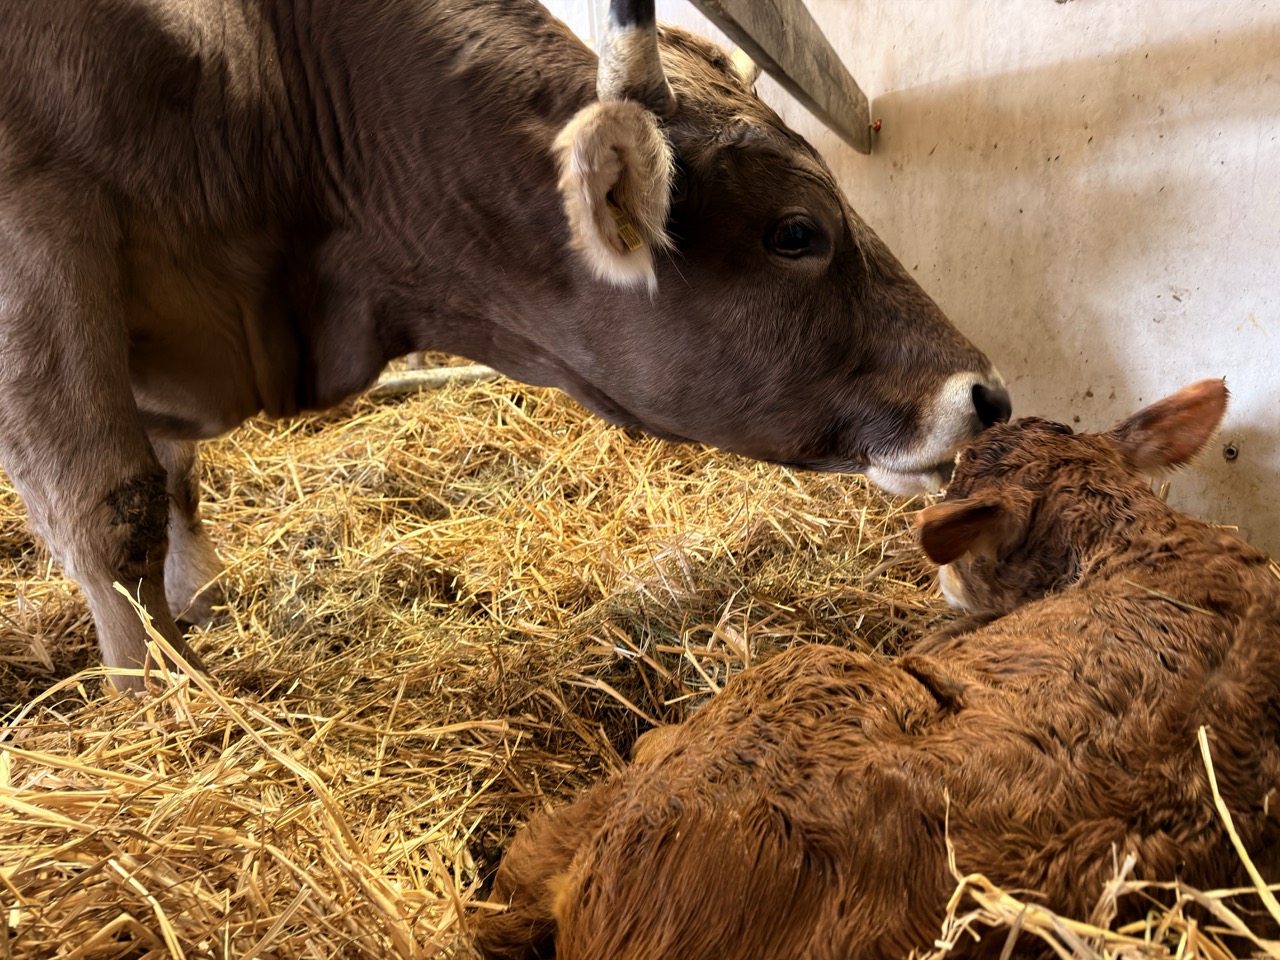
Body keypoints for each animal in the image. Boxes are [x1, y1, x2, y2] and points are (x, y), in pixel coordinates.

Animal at [0, 0, 1008, 690]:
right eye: (796, 231)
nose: (987, 395)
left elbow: (173, 483)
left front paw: (200, 609)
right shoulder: (42, 248)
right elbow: (112, 509)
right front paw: (169, 705)